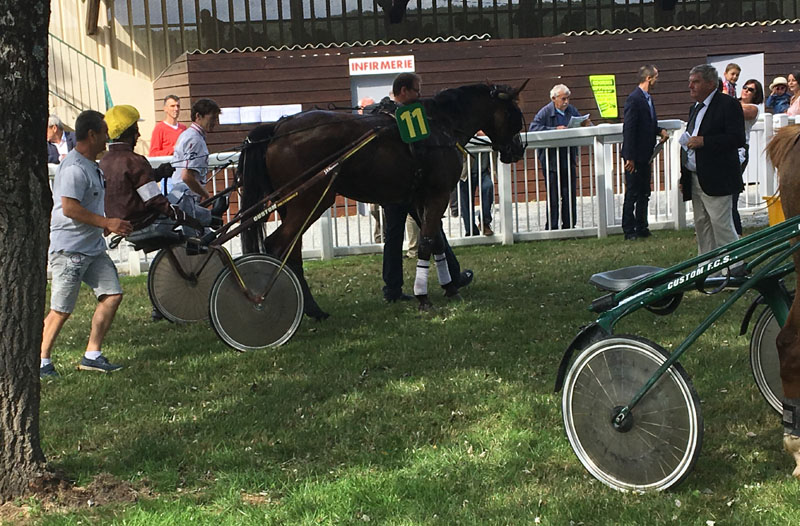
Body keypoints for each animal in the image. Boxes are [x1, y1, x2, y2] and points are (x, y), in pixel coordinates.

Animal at [238, 82, 528, 320]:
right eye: (514, 114)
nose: (517, 149)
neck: (440, 126)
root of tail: (279, 128)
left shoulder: (417, 198)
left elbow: (435, 242)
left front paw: (450, 286)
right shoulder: (439, 194)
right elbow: (426, 242)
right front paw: (424, 296)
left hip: (294, 205)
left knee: (293, 250)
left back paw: (313, 309)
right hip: (311, 201)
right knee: (278, 245)